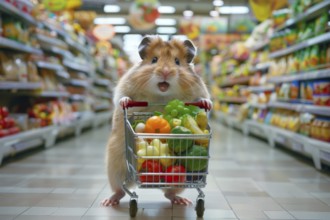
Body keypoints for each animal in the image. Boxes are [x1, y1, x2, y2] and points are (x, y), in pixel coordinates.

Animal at [102, 35, 213, 206]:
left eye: (177, 62)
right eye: (154, 60)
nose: (165, 72)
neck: (162, 95)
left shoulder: (200, 90)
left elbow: (203, 99)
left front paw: (207, 104)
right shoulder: (124, 86)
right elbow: (122, 97)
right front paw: (125, 102)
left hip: (178, 182)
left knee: (169, 193)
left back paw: (182, 201)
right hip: (114, 168)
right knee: (121, 189)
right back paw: (109, 201)